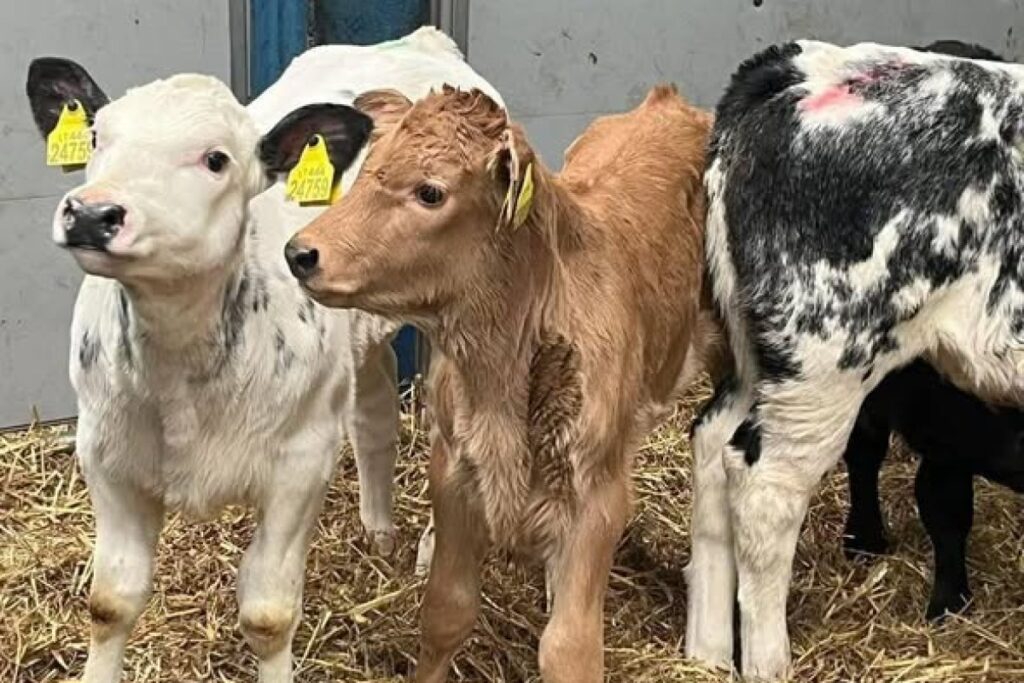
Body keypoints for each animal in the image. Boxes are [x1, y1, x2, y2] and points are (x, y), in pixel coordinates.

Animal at [25, 26, 501, 683]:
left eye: (216, 159)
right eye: (97, 137)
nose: (93, 213)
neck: (180, 371)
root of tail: (421, 41)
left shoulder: (300, 464)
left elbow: (269, 615)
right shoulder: (107, 456)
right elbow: (110, 602)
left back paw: (433, 546)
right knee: (375, 414)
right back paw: (378, 529)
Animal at [271, 84, 718, 681]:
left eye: (431, 192)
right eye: (367, 171)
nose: (301, 251)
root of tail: (667, 102)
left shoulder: (597, 497)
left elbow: (569, 650)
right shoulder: (456, 472)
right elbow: (446, 611)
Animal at [687, 40, 1024, 680]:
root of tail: (800, 68)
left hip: (759, 358)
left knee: (712, 447)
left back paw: (706, 654)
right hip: (827, 358)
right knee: (765, 492)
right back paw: (769, 664)